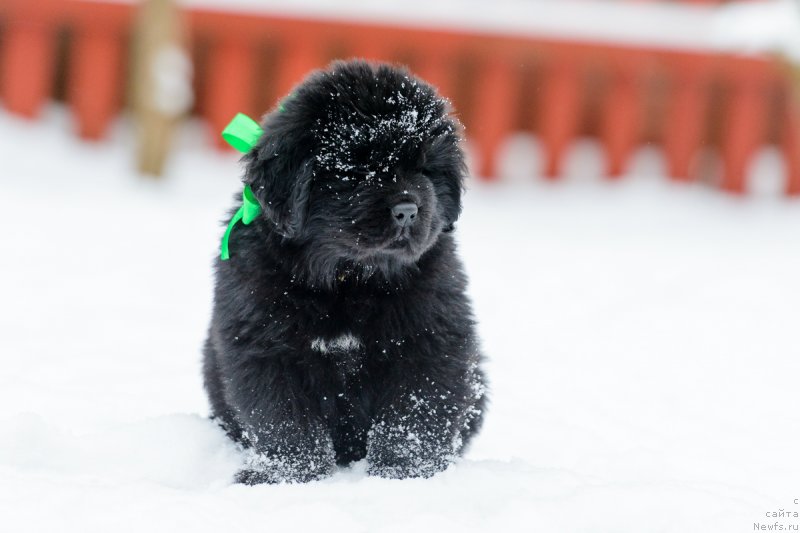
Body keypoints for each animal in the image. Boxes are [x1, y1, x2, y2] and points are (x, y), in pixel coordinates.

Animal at [203, 59, 484, 482]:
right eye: (357, 169)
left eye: (423, 169)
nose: (408, 210)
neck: (349, 279)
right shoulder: (266, 346)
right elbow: (286, 420)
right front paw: (288, 477)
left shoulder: (430, 339)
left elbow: (413, 416)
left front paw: (403, 474)